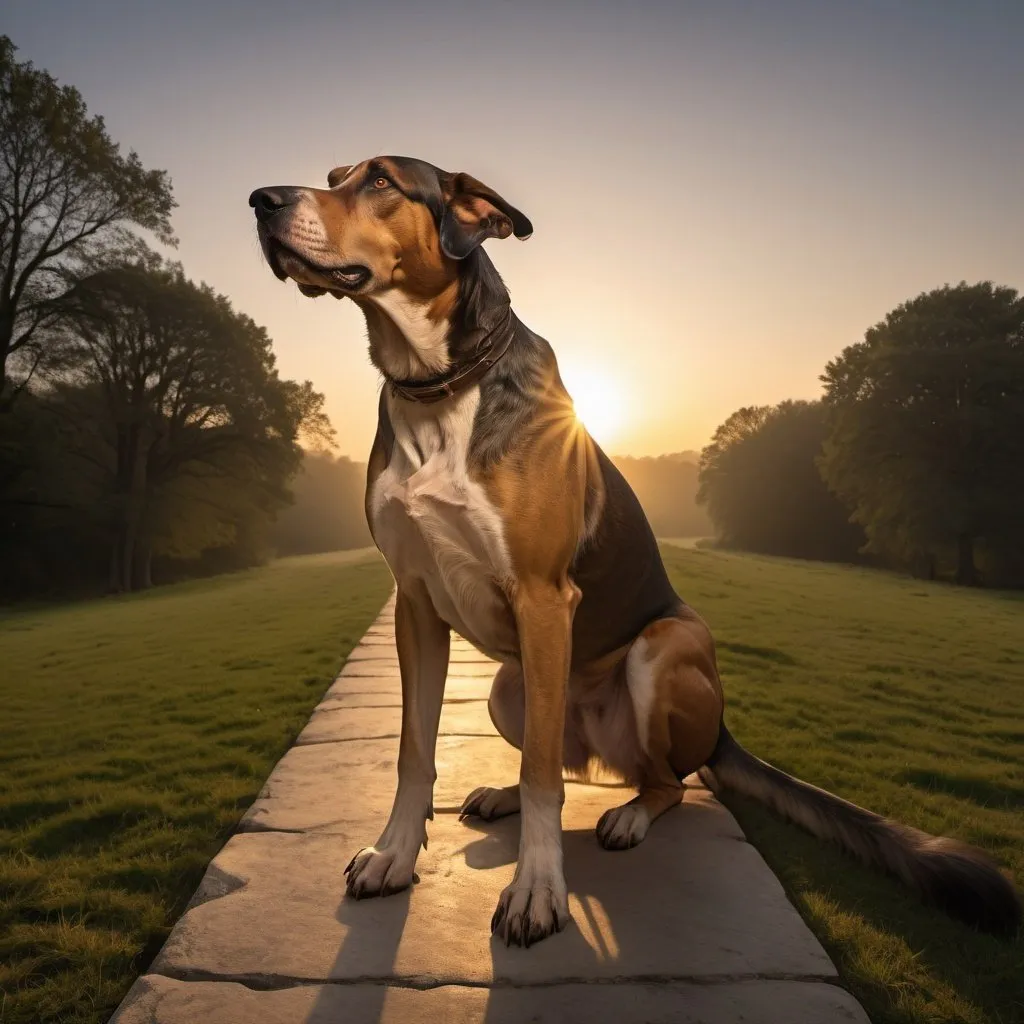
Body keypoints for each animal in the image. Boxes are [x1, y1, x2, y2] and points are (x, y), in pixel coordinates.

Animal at [249, 153, 1024, 942]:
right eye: (334, 176)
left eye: (380, 181)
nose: (261, 200)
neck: (434, 389)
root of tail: (719, 734)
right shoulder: (414, 603)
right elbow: (417, 752)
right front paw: (395, 857)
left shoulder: (543, 597)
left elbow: (541, 779)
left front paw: (537, 890)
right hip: (510, 686)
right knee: (560, 759)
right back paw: (503, 795)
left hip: (662, 649)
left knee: (659, 781)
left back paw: (628, 816)